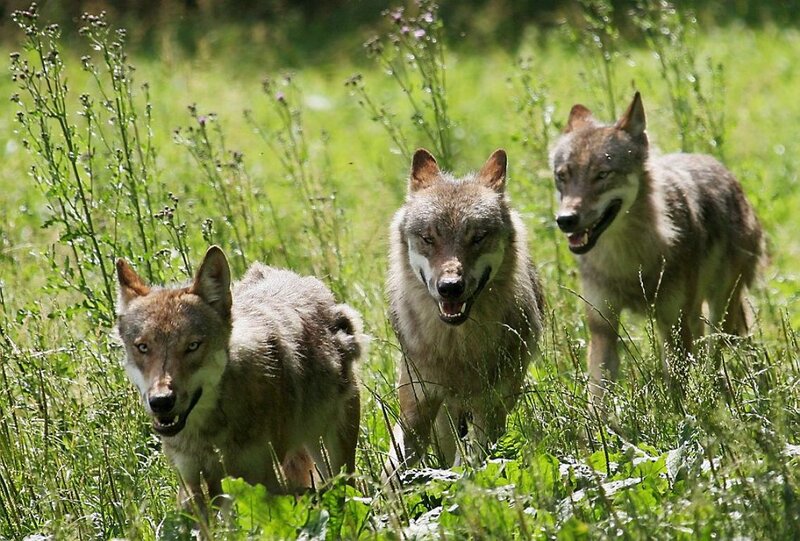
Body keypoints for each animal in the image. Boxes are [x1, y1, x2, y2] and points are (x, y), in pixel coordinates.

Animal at [115, 246, 363, 513]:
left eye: (192, 346)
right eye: (143, 347)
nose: (161, 401)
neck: (208, 432)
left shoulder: (259, 480)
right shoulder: (192, 482)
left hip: (334, 461)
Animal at [383, 148, 544, 480]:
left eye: (478, 237)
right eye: (428, 238)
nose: (450, 288)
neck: (456, 348)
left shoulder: (491, 408)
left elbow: (469, 462)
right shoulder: (416, 407)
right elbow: (392, 470)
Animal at [550, 91, 763, 402]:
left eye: (602, 174)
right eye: (562, 176)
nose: (565, 220)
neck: (628, 260)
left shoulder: (672, 326)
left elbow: (677, 392)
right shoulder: (603, 328)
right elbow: (598, 397)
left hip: (719, 312)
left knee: (716, 357)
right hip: (696, 314)